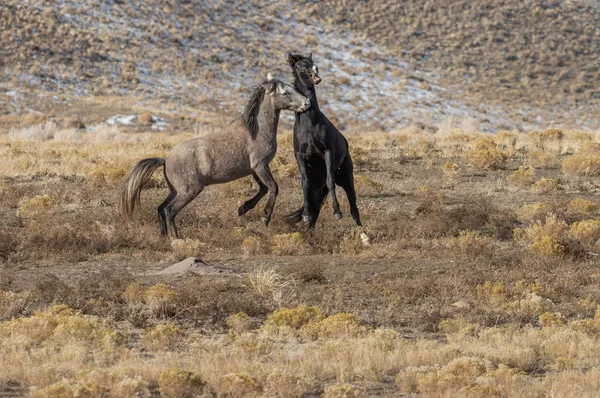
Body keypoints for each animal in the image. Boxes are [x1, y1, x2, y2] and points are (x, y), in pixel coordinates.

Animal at [121, 79, 310, 238]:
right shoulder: (260, 165)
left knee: (160, 208)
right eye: (285, 92)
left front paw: (242, 209)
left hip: (175, 191)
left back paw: (163, 236)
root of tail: (165, 160)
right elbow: (273, 188)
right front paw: (265, 217)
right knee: (169, 211)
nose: (307, 103)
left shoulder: (255, 169)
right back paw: (176, 237)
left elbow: (263, 189)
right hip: (189, 191)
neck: (256, 131)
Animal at [288, 53, 366, 233]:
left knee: (354, 209)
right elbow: (304, 184)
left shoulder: (327, 153)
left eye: (311, 62)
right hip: (318, 184)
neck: (309, 126)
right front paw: (305, 215)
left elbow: (331, 182)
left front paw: (337, 212)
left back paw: (363, 235)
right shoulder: (299, 156)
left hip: (346, 179)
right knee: (316, 208)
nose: (315, 68)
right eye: (299, 66)